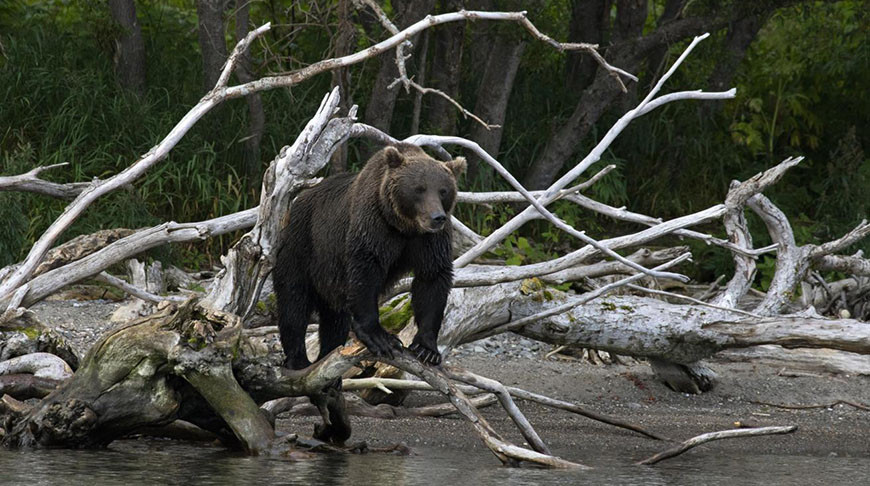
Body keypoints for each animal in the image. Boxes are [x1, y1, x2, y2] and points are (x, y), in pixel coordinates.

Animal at [274, 144, 466, 373]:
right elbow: (366, 270)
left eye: (443, 190)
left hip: (330, 280)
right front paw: (380, 338)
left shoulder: (429, 241)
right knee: (294, 302)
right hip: (302, 245)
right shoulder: (373, 224)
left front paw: (426, 348)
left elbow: (432, 278)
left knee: (334, 322)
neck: (404, 226)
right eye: (419, 188)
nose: (437, 217)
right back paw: (298, 361)